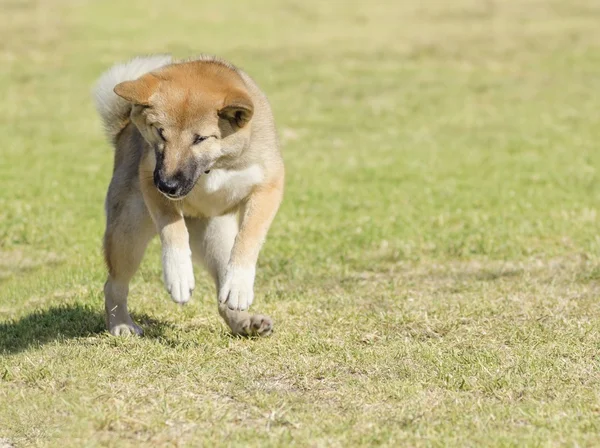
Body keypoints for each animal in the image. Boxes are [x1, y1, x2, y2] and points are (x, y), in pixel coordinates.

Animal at [92, 55, 284, 336]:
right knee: (114, 285)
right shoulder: (150, 178)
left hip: (216, 239)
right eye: (160, 132)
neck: (213, 167)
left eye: (200, 138)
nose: (167, 185)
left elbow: (248, 237)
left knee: (223, 296)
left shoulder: (268, 186)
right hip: (129, 232)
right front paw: (178, 274)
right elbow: (172, 229)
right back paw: (121, 324)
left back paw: (245, 322)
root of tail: (123, 129)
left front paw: (239, 285)